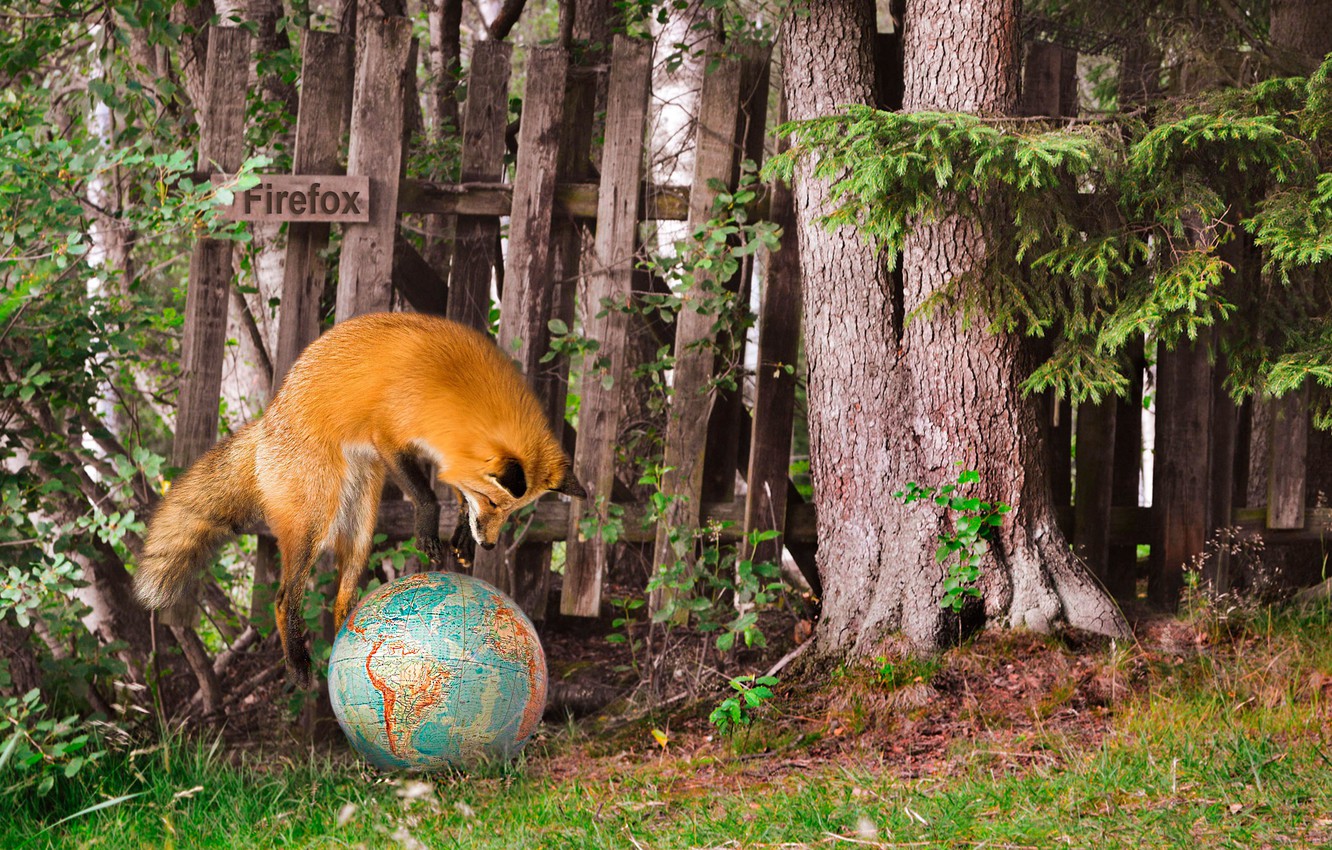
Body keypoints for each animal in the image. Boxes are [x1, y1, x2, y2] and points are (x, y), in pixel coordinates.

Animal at [134, 312, 585, 687]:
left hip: (361, 528)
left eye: (509, 513)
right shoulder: (389, 436)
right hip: (314, 521)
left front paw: (459, 537)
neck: (457, 386)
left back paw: (350, 645)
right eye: (493, 504)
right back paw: (299, 665)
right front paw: (430, 532)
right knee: (283, 598)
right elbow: (427, 497)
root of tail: (266, 423)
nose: (489, 545)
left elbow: (454, 492)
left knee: (341, 599)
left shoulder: (442, 454)